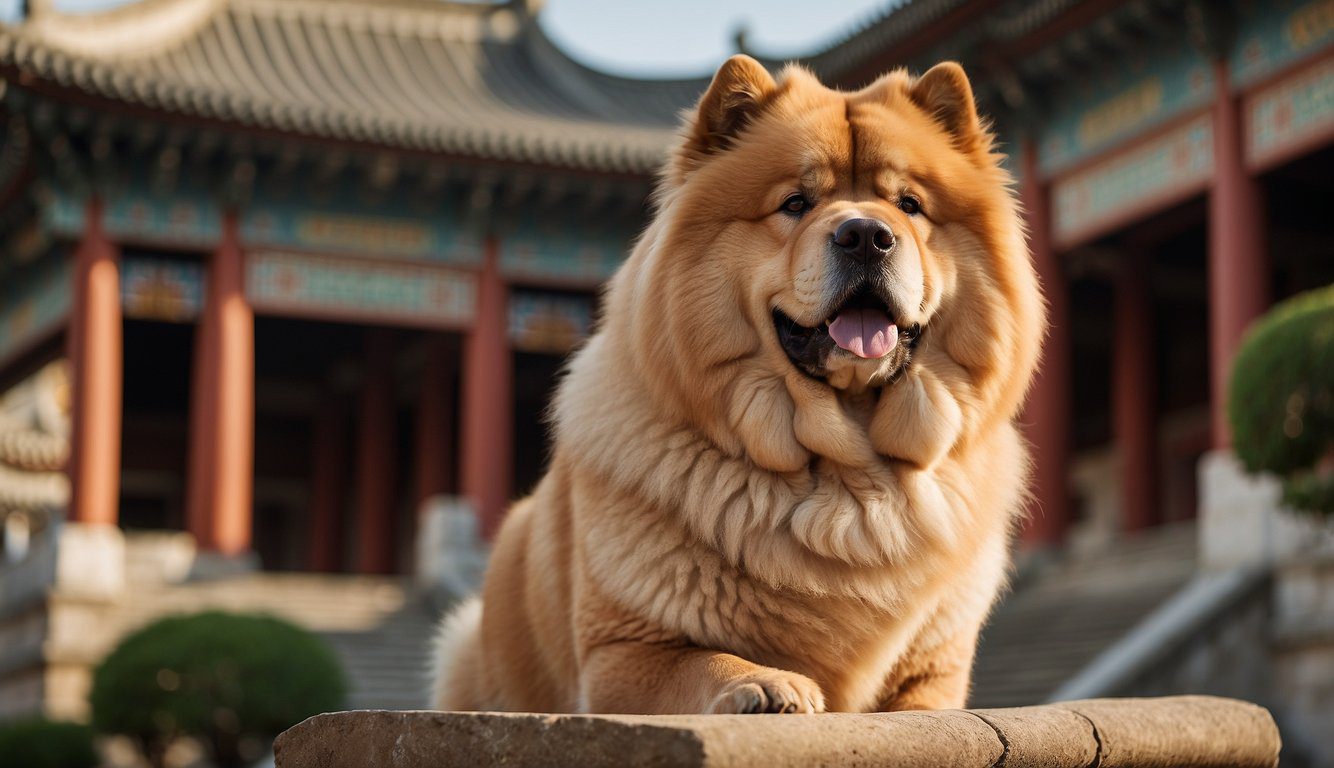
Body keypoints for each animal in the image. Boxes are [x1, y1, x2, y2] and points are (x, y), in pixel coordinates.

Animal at [432, 54, 1045, 714]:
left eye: (908, 204)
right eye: (796, 203)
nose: (865, 234)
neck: (846, 478)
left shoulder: (937, 667)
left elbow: (925, 704)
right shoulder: (621, 653)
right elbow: (699, 661)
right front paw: (768, 682)